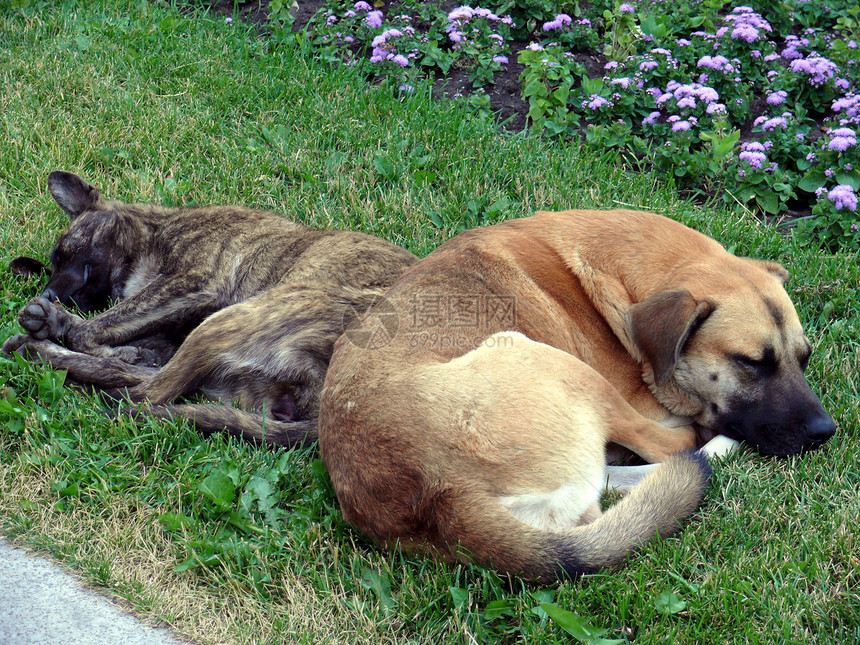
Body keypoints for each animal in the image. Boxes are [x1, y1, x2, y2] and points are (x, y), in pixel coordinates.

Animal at [316, 210, 832, 580]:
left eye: (804, 358)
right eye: (752, 362)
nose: (824, 432)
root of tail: (438, 493)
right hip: (549, 361)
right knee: (675, 448)